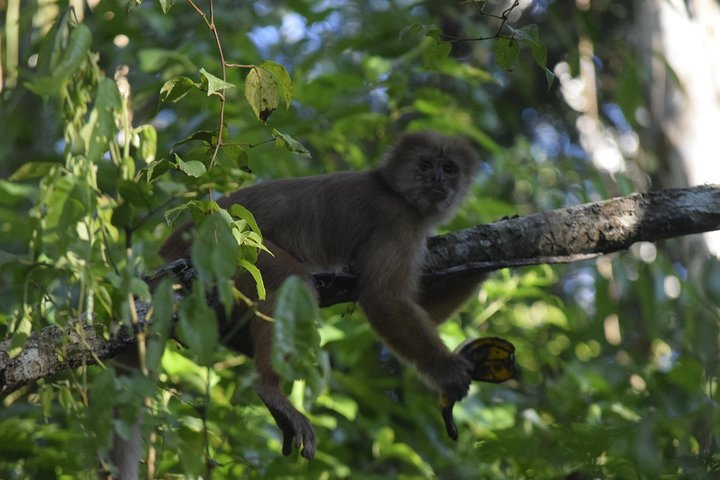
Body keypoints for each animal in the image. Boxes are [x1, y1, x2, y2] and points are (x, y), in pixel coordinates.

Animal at [155, 131, 486, 462]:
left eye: (449, 168)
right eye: (426, 164)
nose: (437, 178)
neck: (395, 191)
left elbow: (425, 310)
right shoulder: (398, 220)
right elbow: (382, 298)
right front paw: (447, 370)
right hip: (232, 248)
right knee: (294, 283)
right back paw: (269, 387)